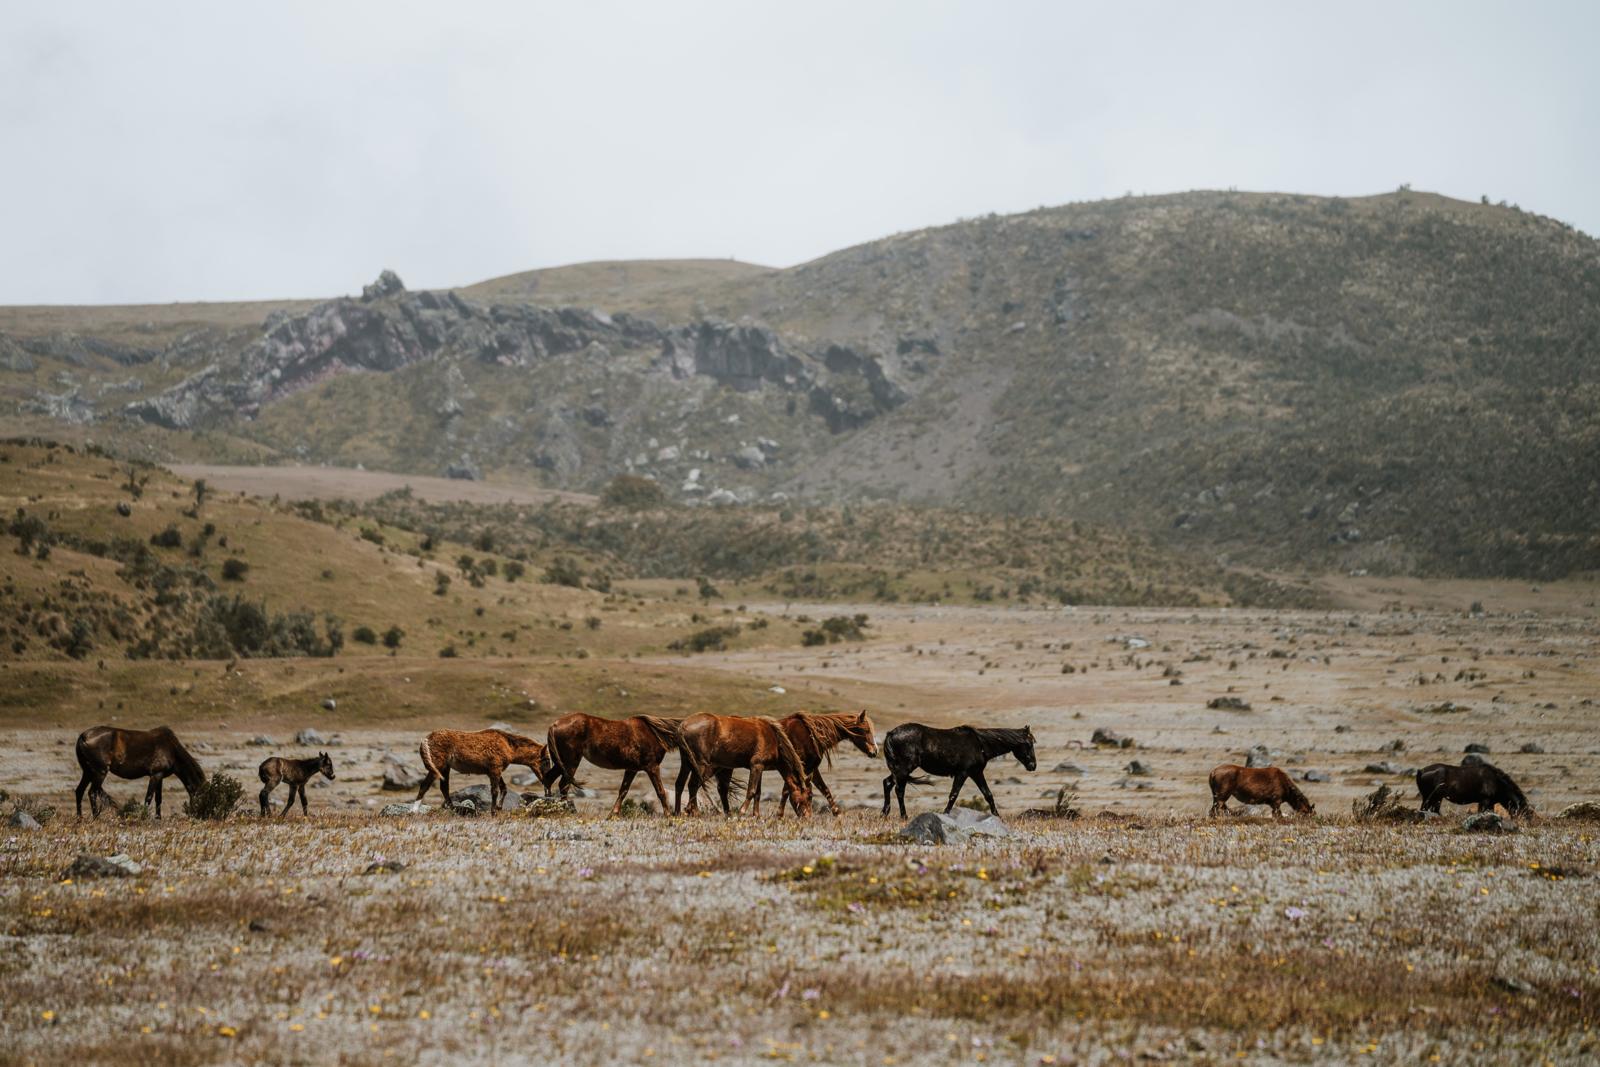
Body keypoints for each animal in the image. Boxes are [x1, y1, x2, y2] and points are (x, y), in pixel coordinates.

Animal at [74, 725, 206, 819]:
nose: (198, 815)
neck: (171, 748)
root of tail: (84, 736)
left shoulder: (160, 776)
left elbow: (158, 799)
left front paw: (158, 818)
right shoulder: (155, 775)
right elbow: (149, 797)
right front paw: (145, 816)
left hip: (88, 772)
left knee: (79, 791)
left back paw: (80, 818)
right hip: (100, 772)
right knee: (92, 792)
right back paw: (96, 817)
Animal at [415, 728, 547, 813]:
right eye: (546, 760)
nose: (545, 780)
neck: (506, 745)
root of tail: (426, 739)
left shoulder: (495, 771)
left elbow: (503, 789)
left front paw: (499, 807)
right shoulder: (495, 770)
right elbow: (495, 791)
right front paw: (493, 811)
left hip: (444, 768)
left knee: (444, 788)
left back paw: (453, 810)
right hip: (437, 767)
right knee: (424, 786)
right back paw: (414, 810)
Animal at [541, 714, 683, 815]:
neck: (655, 734)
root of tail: (554, 724)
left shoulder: (631, 769)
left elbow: (623, 791)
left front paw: (612, 814)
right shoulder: (652, 767)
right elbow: (660, 792)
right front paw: (668, 815)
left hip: (562, 763)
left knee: (548, 779)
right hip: (570, 762)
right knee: (563, 785)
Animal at [673, 714, 812, 817]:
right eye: (808, 797)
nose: (807, 818)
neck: (773, 737)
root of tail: (683, 726)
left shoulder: (760, 768)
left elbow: (758, 793)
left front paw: (756, 815)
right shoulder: (756, 766)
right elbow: (751, 791)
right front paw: (742, 812)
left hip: (686, 763)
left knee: (680, 783)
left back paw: (678, 812)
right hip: (700, 764)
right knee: (693, 785)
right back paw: (694, 812)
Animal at [879, 723, 1037, 818]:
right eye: (1029, 744)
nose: (1033, 766)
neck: (980, 744)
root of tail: (891, 733)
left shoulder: (976, 773)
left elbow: (988, 795)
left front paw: (997, 816)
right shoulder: (963, 773)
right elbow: (953, 795)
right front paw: (945, 814)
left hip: (899, 770)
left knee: (887, 783)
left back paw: (884, 813)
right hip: (904, 769)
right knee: (899, 790)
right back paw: (904, 816)